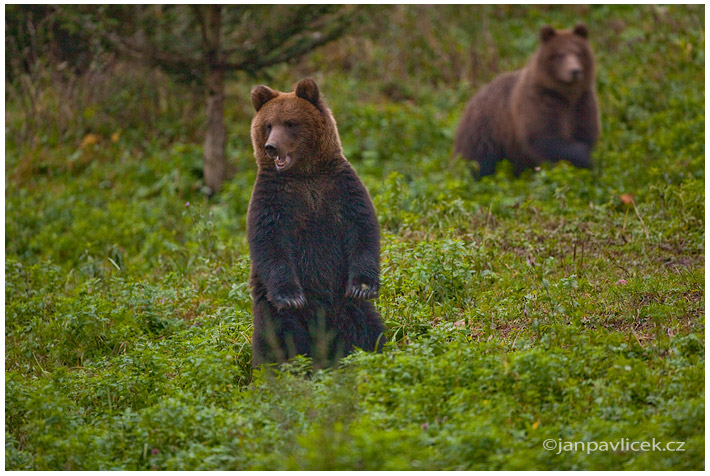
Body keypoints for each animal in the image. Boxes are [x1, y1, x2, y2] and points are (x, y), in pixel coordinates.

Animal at [248, 77, 386, 368]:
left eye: (290, 123)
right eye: (268, 125)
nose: (271, 147)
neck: (304, 174)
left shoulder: (339, 187)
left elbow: (362, 228)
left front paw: (363, 286)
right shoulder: (273, 199)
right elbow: (269, 242)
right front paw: (291, 296)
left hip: (345, 305)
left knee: (368, 328)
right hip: (270, 309)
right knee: (276, 339)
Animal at [456, 23, 600, 177]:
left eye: (579, 52)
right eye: (560, 54)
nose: (575, 71)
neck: (565, 96)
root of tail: (469, 101)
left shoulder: (582, 104)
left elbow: (585, 134)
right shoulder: (538, 103)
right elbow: (545, 138)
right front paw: (584, 158)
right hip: (486, 131)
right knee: (479, 162)